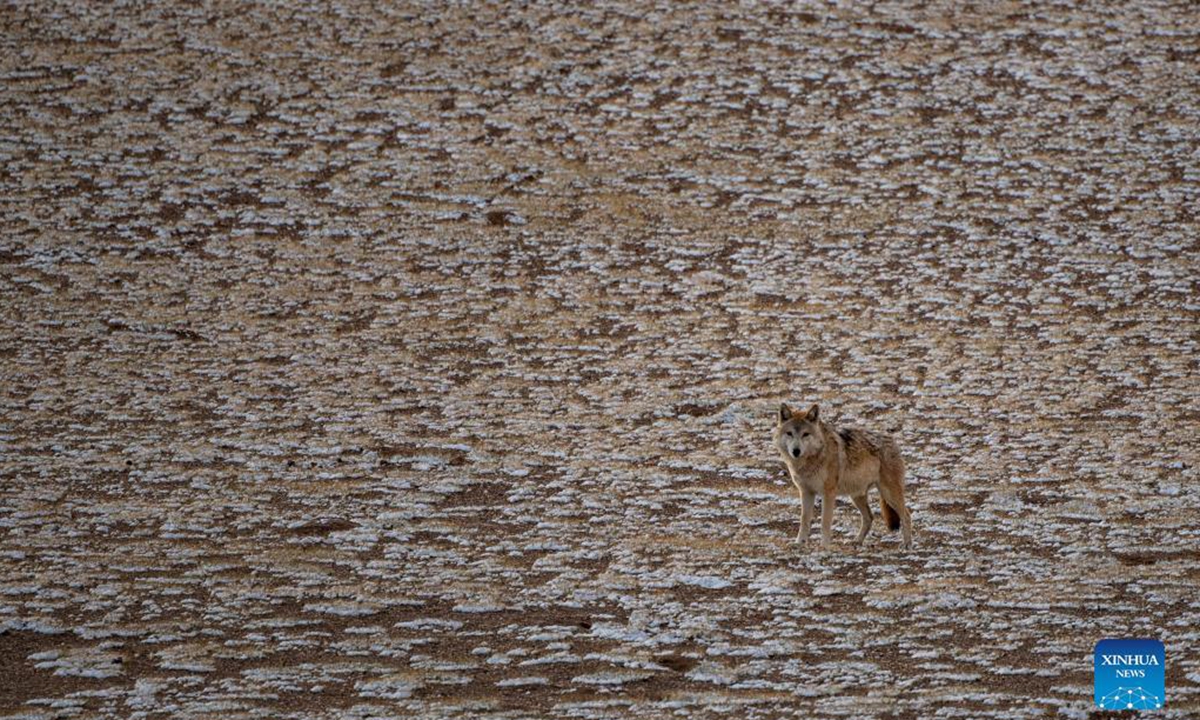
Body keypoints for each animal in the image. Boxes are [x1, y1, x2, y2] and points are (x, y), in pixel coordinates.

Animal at [775, 402, 912, 549]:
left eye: (805, 434)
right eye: (789, 433)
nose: (796, 451)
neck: (811, 459)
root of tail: (892, 440)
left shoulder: (828, 493)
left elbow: (825, 522)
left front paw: (824, 547)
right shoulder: (806, 492)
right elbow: (804, 520)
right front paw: (799, 543)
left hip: (888, 494)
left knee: (906, 515)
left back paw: (907, 544)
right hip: (857, 495)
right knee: (869, 517)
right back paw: (857, 541)